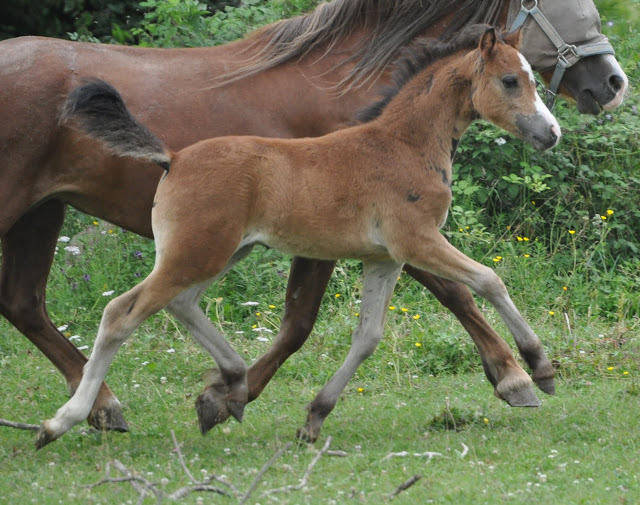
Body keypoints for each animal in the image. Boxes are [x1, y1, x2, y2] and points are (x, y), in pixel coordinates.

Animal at [0, 0, 628, 430]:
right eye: (510, 80)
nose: (553, 132)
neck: (398, 140)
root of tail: (172, 156)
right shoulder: (415, 241)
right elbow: (483, 283)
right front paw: (533, 370)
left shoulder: (384, 256)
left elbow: (364, 332)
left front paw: (295, 411)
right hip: (185, 249)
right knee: (120, 312)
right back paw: (68, 420)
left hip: (180, 244)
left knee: (101, 303)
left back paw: (210, 382)